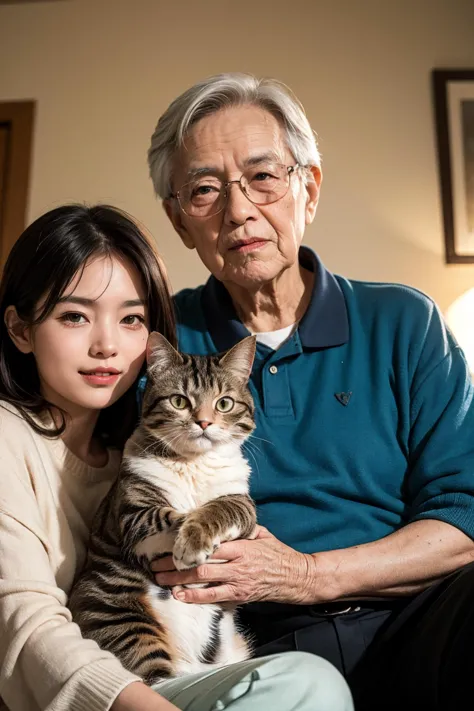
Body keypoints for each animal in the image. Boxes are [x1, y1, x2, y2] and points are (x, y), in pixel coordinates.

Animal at [68, 334, 258, 684]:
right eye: (179, 401)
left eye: (224, 403)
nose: (204, 422)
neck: (194, 463)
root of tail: (189, 666)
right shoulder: (134, 512)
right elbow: (170, 516)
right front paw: (189, 544)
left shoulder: (244, 504)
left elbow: (224, 506)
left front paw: (194, 539)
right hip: (119, 614)